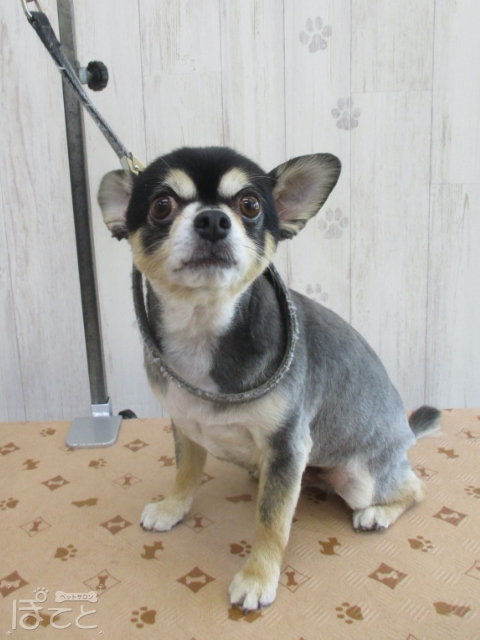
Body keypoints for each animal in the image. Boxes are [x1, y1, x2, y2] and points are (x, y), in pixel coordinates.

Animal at [98, 146, 440, 612]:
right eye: (161, 205)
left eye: (250, 205)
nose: (212, 220)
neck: (203, 331)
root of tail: (405, 433)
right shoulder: (185, 423)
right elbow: (186, 470)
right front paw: (172, 507)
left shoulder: (287, 445)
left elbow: (271, 521)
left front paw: (258, 578)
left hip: (361, 478)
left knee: (412, 488)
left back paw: (377, 512)